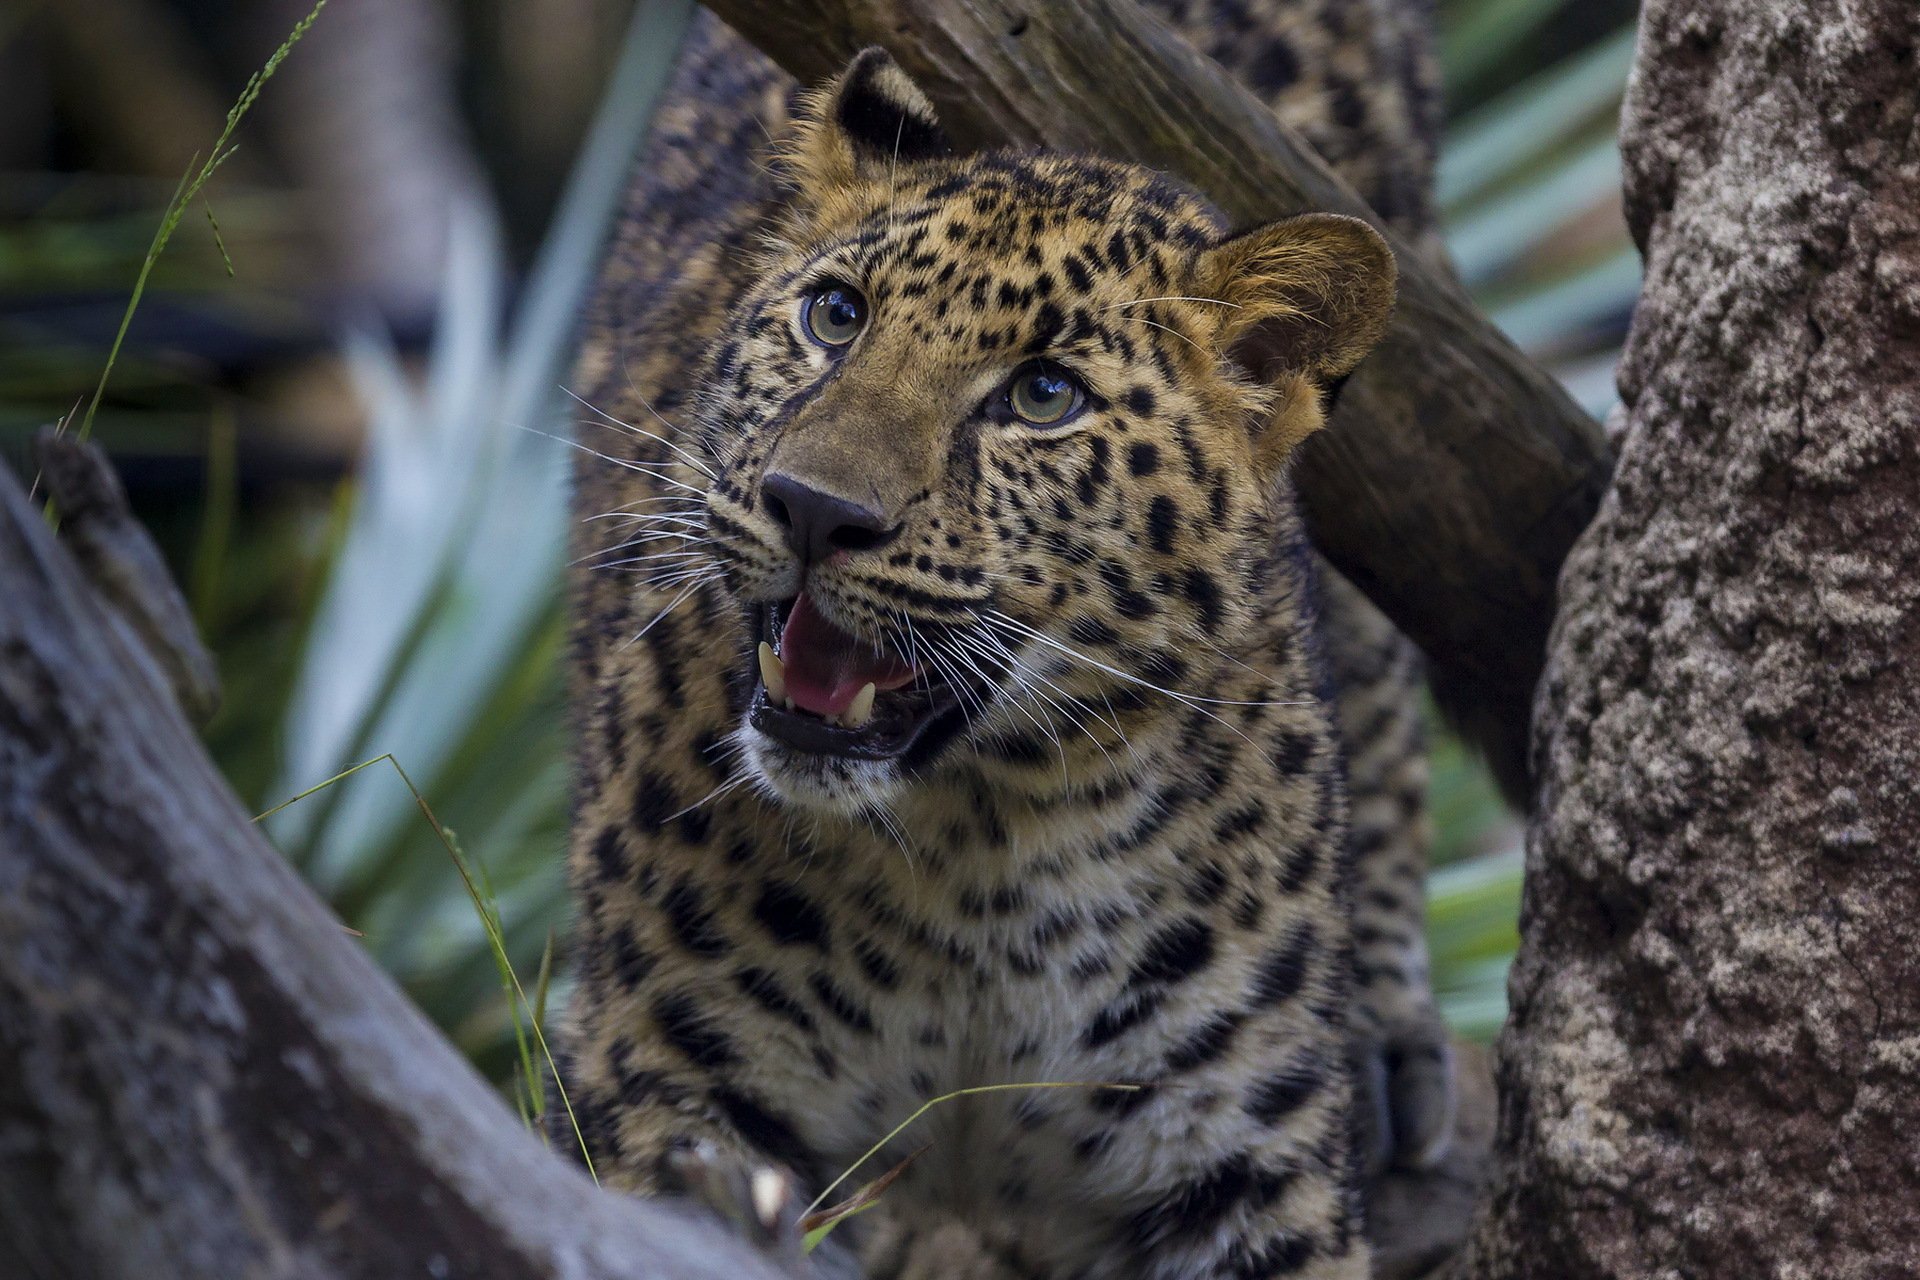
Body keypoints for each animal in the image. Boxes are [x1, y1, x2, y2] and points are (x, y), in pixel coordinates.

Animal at [556, 7, 1456, 1278]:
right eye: (835, 316)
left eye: (1042, 396)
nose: (811, 508)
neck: (977, 847)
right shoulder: (661, 1078)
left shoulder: (1239, 1166)